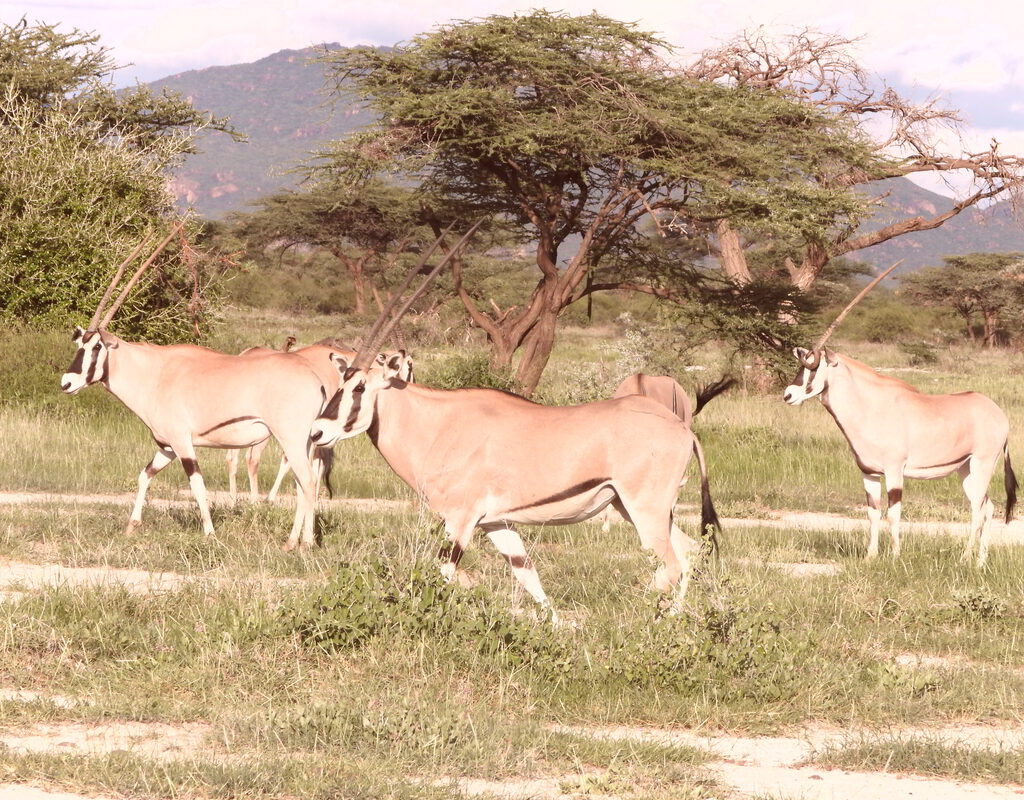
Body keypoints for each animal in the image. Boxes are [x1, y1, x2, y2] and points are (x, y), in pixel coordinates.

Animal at [308, 222, 721, 618]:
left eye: (360, 387)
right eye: (341, 382)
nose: (317, 432)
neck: (438, 425)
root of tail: (682, 430)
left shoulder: (460, 519)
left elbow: (444, 574)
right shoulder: (496, 522)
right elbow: (527, 574)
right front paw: (557, 626)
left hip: (645, 509)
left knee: (669, 565)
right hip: (639, 508)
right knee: (689, 552)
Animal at [783, 261, 1017, 565]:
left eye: (812, 366)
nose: (788, 395)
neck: (869, 406)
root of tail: (998, 413)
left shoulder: (895, 471)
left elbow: (893, 514)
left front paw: (894, 557)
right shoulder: (869, 473)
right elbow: (873, 513)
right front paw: (870, 557)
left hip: (982, 464)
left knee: (978, 509)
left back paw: (965, 559)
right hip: (965, 469)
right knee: (987, 507)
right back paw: (980, 562)